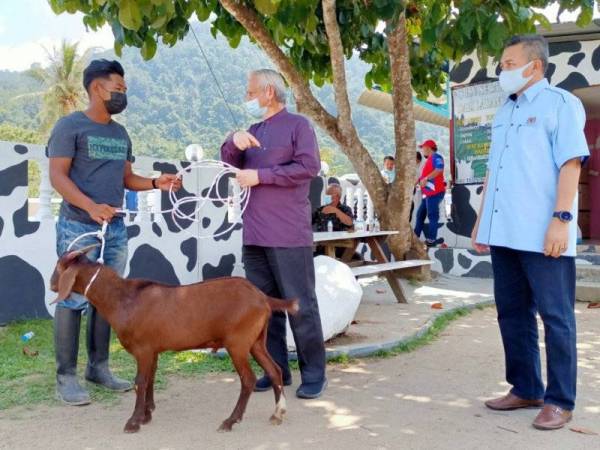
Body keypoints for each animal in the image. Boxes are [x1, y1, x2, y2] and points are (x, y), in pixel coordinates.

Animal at [50, 244, 298, 434]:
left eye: (59, 266)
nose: (52, 284)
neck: (122, 298)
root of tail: (263, 298)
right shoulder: (153, 350)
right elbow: (150, 378)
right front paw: (146, 415)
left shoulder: (143, 349)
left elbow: (140, 381)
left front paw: (133, 422)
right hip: (256, 341)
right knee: (274, 369)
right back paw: (278, 413)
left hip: (237, 342)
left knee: (248, 379)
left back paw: (230, 421)